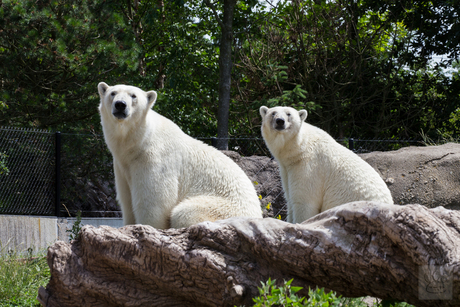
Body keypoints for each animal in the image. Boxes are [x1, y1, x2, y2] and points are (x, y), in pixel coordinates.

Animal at [97, 83, 262, 230]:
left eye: (133, 96)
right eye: (113, 93)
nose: (120, 105)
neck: (140, 142)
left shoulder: (155, 158)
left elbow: (154, 201)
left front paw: (148, 227)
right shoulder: (122, 164)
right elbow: (126, 200)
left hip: (225, 207)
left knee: (184, 213)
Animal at [260, 106, 394, 224]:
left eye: (289, 114)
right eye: (273, 113)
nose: (280, 121)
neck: (300, 147)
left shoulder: (309, 167)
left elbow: (304, 201)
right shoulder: (287, 168)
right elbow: (290, 199)